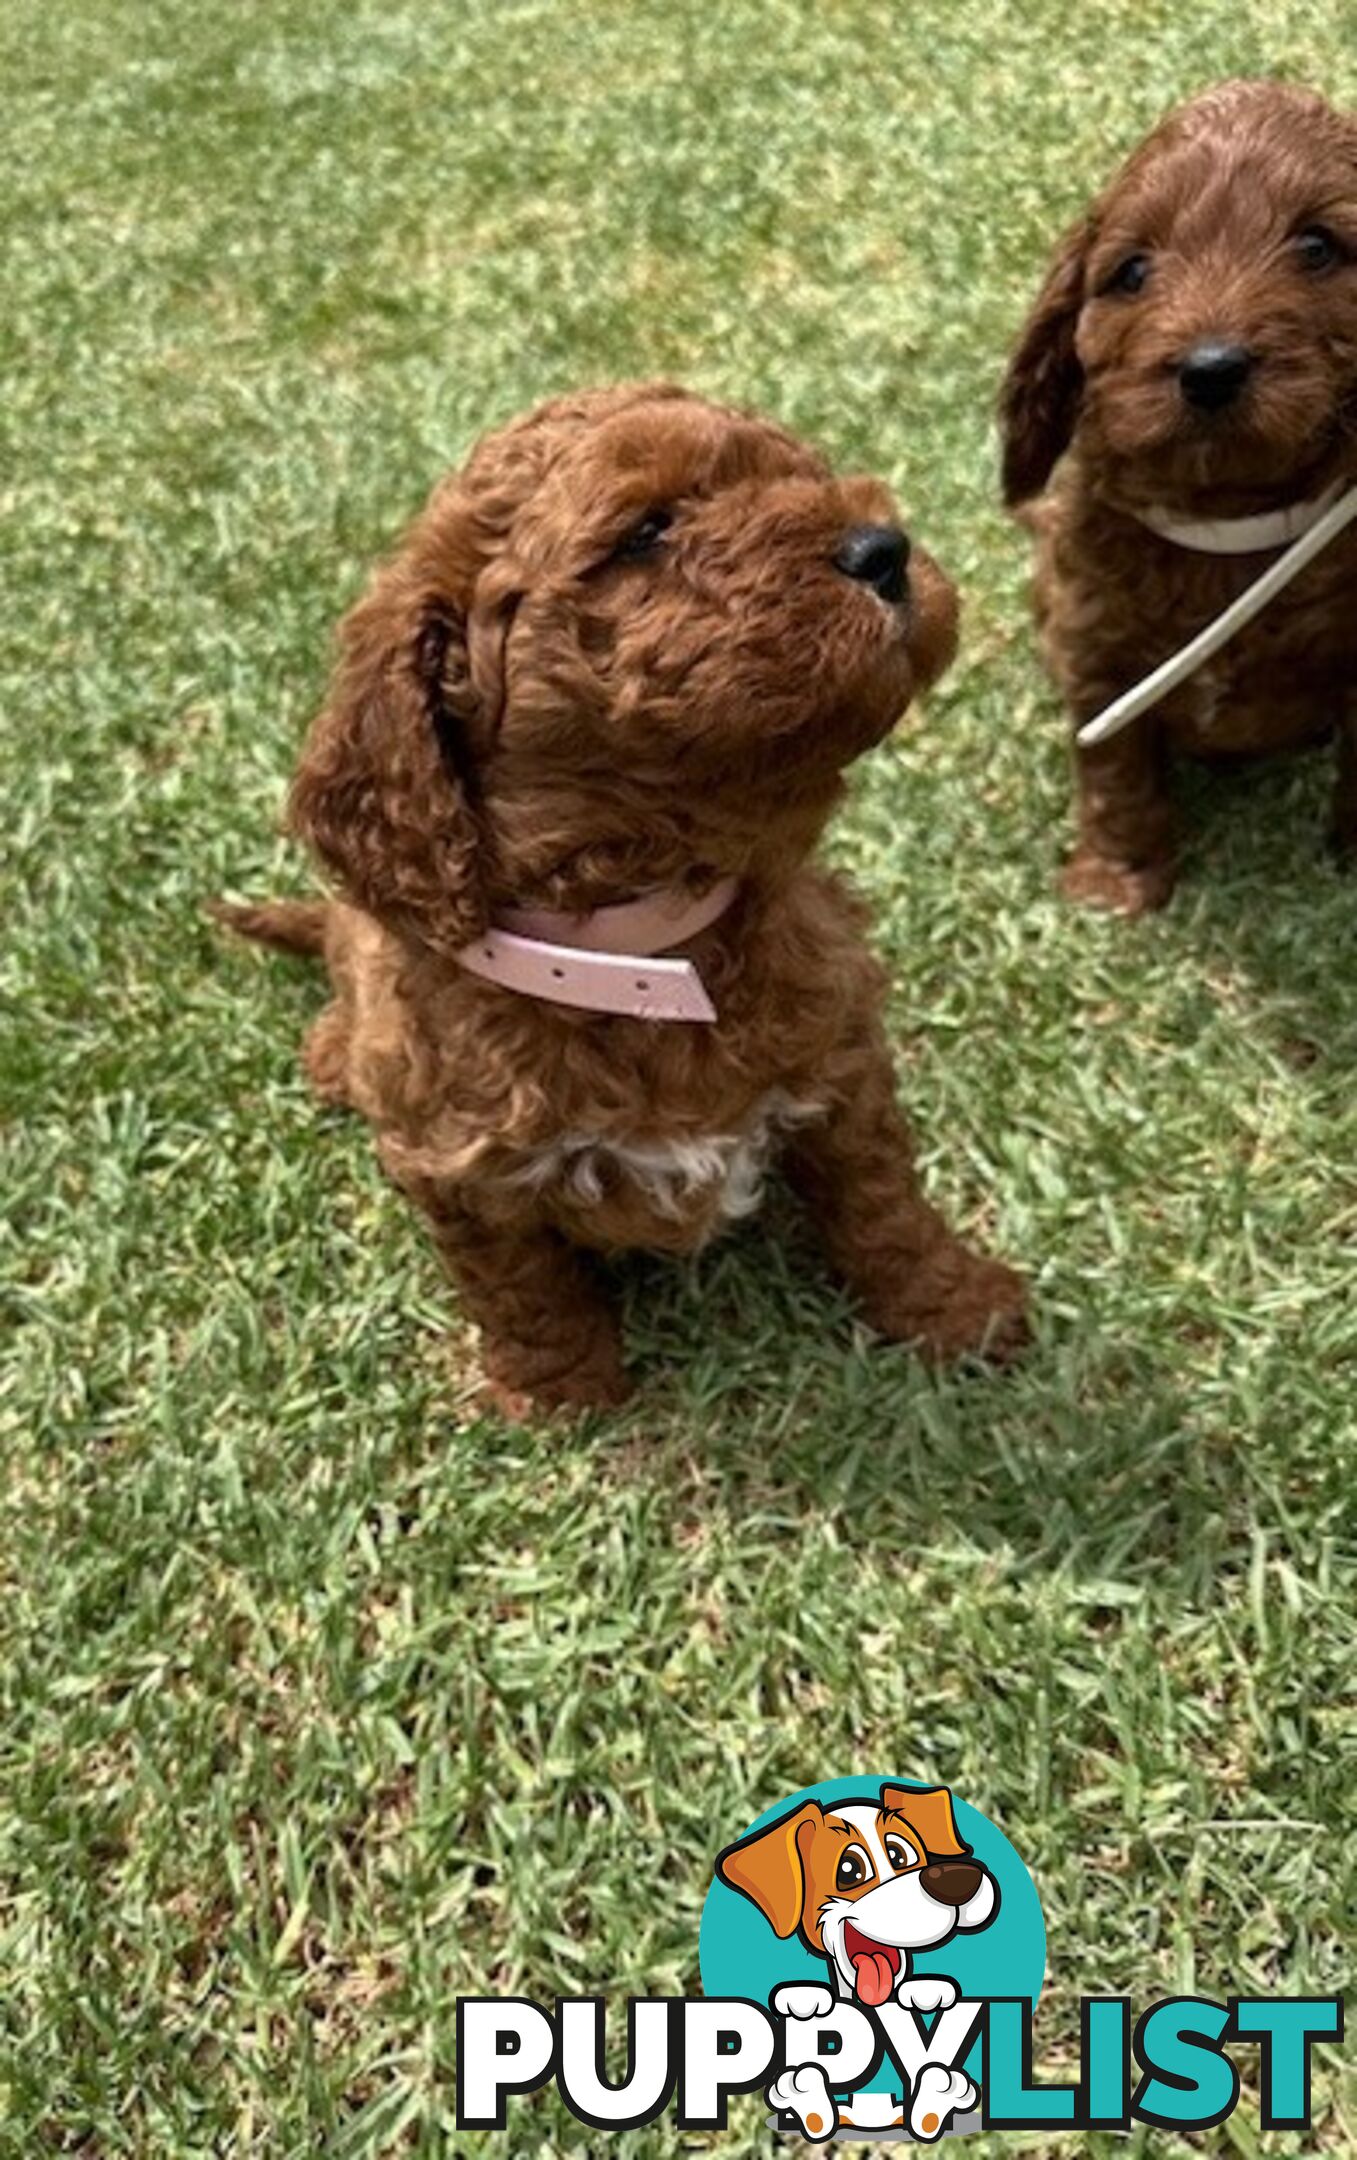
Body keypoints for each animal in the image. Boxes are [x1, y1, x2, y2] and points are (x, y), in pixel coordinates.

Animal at [222, 380, 1024, 1408]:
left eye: (800, 473)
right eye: (644, 530)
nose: (882, 549)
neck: (639, 951)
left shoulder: (844, 1061)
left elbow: (882, 1200)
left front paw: (956, 1308)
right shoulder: (458, 1170)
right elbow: (520, 1285)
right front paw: (562, 1394)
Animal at [998, 79, 1357, 911]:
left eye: (1317, 248)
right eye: (1131, 273)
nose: (1210, 368)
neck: (1223, 524)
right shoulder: (1094, 655)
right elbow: (1115, 777)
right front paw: (1116, 881)